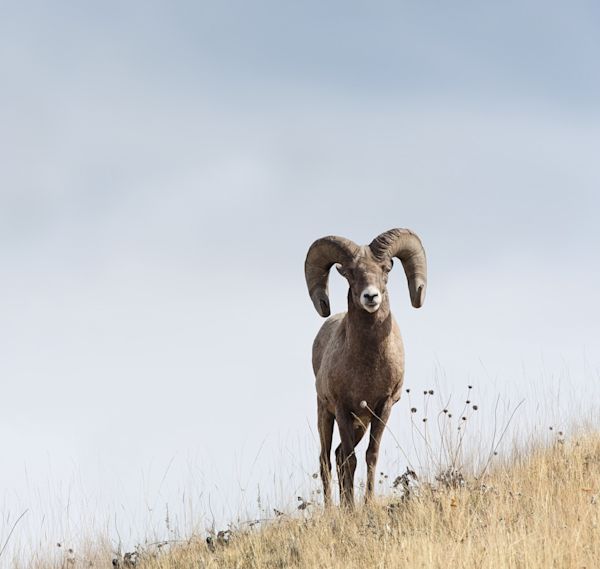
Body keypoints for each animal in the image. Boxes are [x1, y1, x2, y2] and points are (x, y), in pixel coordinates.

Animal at [304, 226, 426, 506]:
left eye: (385, 269)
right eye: (350, 273)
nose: (371, 297)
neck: (368, 367)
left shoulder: (382, 408)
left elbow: (370, 455)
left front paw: (367, 503)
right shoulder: (342, 409)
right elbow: (351, 460)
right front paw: (350, 508)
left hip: (359, 423)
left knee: (337, 456)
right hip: (325, 413)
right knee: (326, 460)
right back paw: (332, 509)